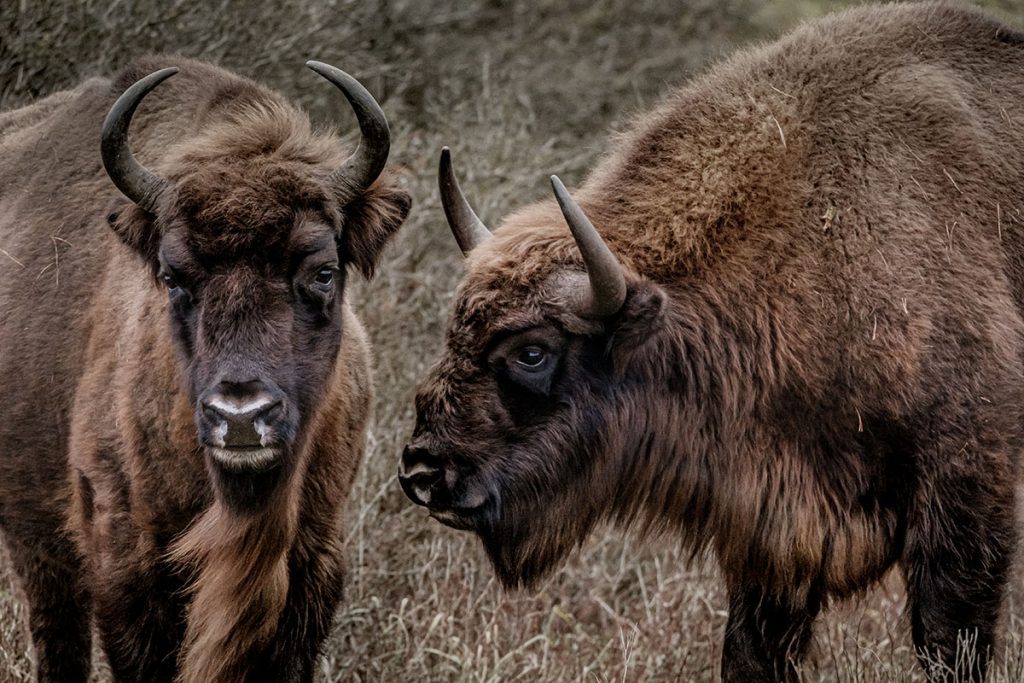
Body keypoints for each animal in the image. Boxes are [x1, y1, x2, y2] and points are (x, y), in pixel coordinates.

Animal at [399, 2, 1024, 679]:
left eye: (532, 351)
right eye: (455, 328)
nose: (422, 471)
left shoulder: (964, 490)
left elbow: (948, 636)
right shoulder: (770, 533)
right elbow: (749, 648)